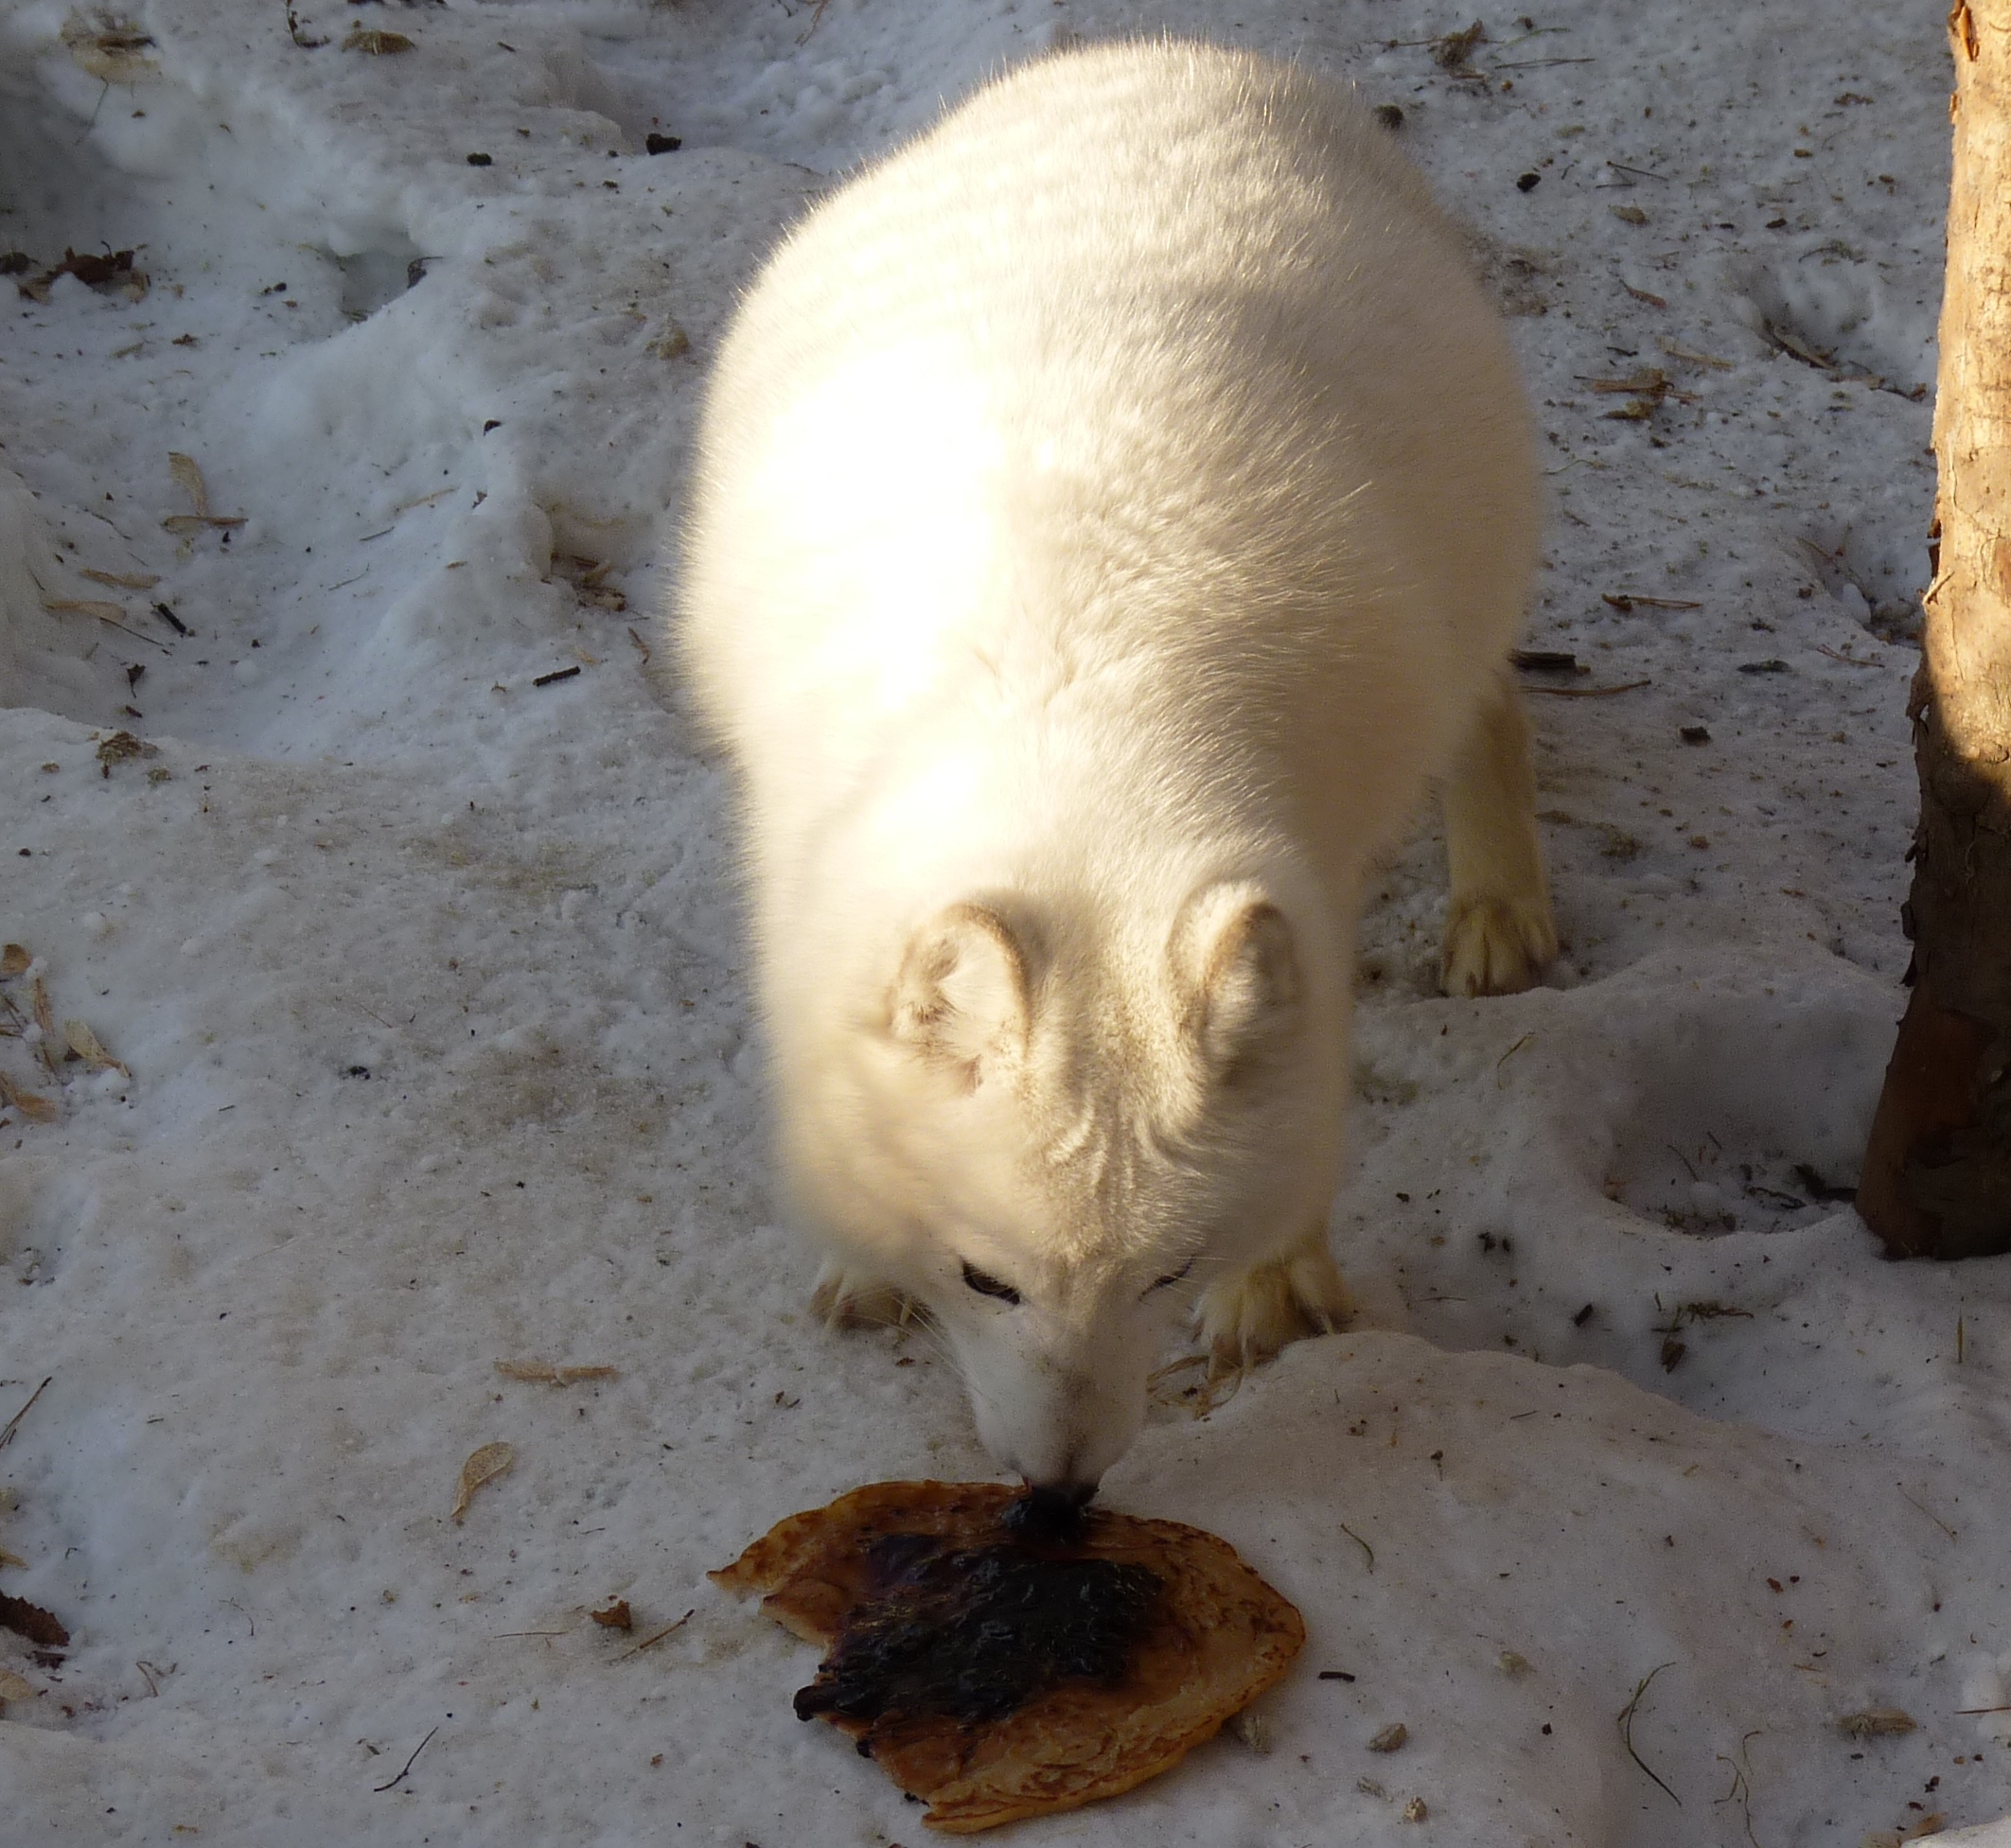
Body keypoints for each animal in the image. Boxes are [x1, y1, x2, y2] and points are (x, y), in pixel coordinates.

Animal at [676, 39, 1552, 1504]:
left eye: (1166, 1274)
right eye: (984, 1280)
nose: (1061, 1495)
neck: (1069, 739)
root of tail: (1175, 52)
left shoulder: (1314, 866)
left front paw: (1277, 1278)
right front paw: (857, 1250)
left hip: (1462, 593)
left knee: (1490, 706)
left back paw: (1498, 908)